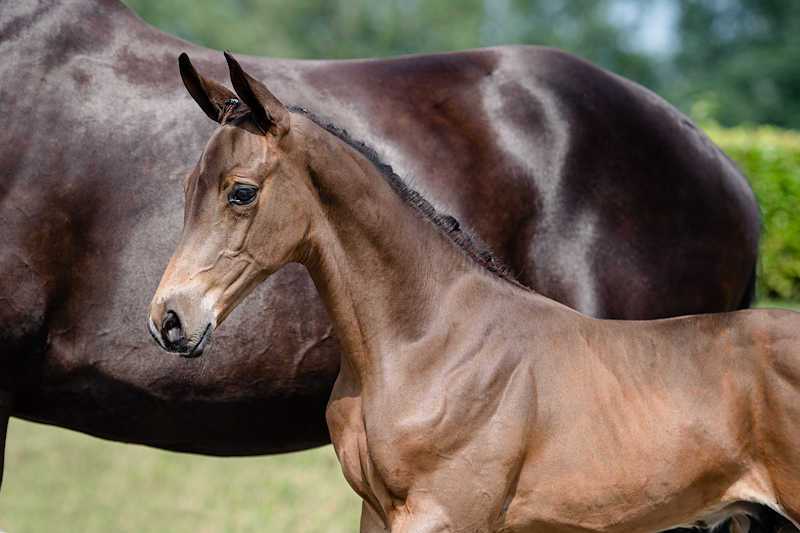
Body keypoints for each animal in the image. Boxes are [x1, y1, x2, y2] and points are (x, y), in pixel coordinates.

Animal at [150, 53, 798, 533]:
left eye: (241, 192)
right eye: (185, 188)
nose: (169, 319)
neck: (428, 344)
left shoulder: (444, 514)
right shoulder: (377, 514)